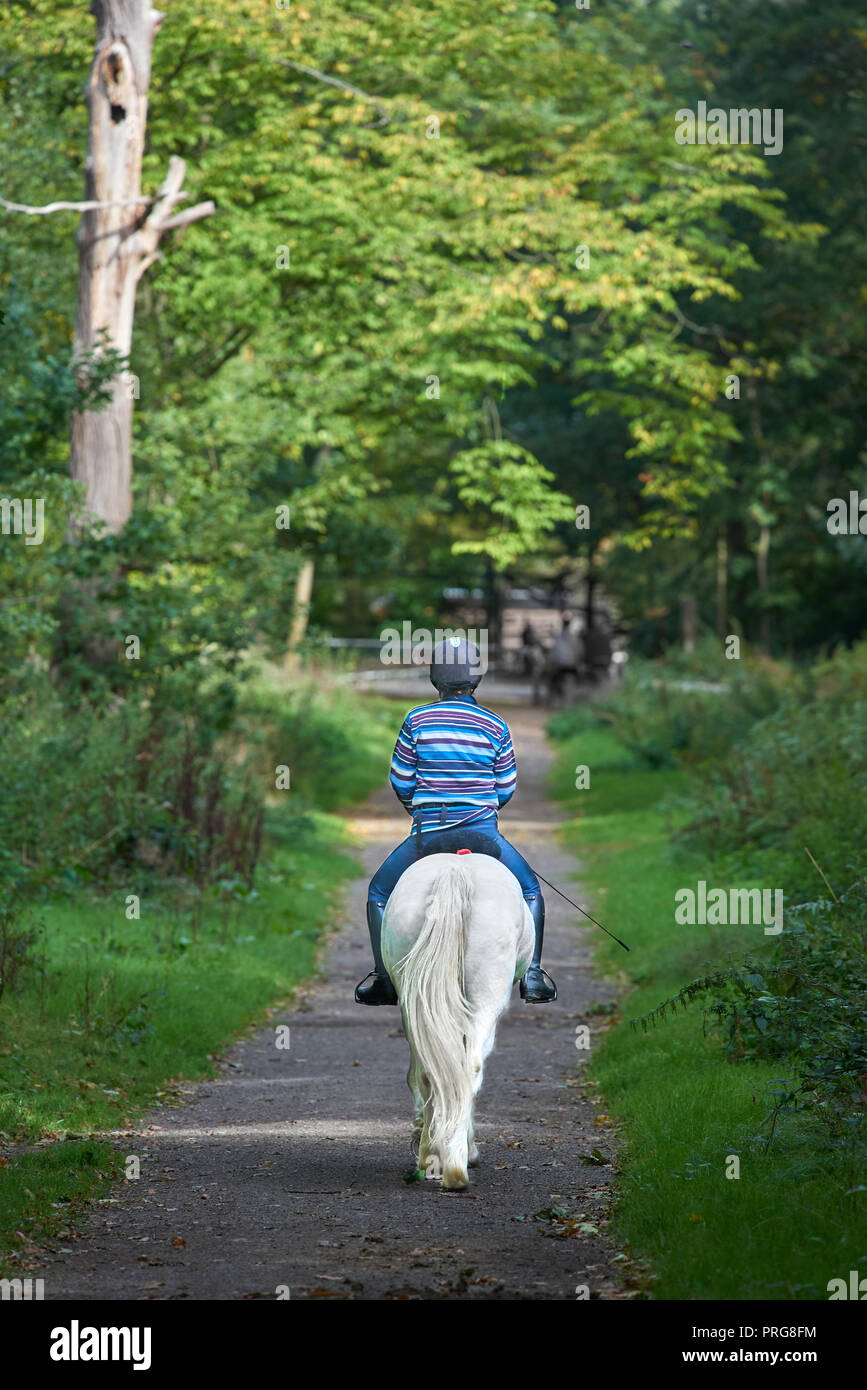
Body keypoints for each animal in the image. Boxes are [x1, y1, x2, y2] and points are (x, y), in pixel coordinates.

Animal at [380, 850, 536, 1189]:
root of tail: (455, 870)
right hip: (487, 996)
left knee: (430, 1070)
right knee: (470, 1066)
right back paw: (457, 1163)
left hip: (415, 999)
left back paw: (433, 1156)